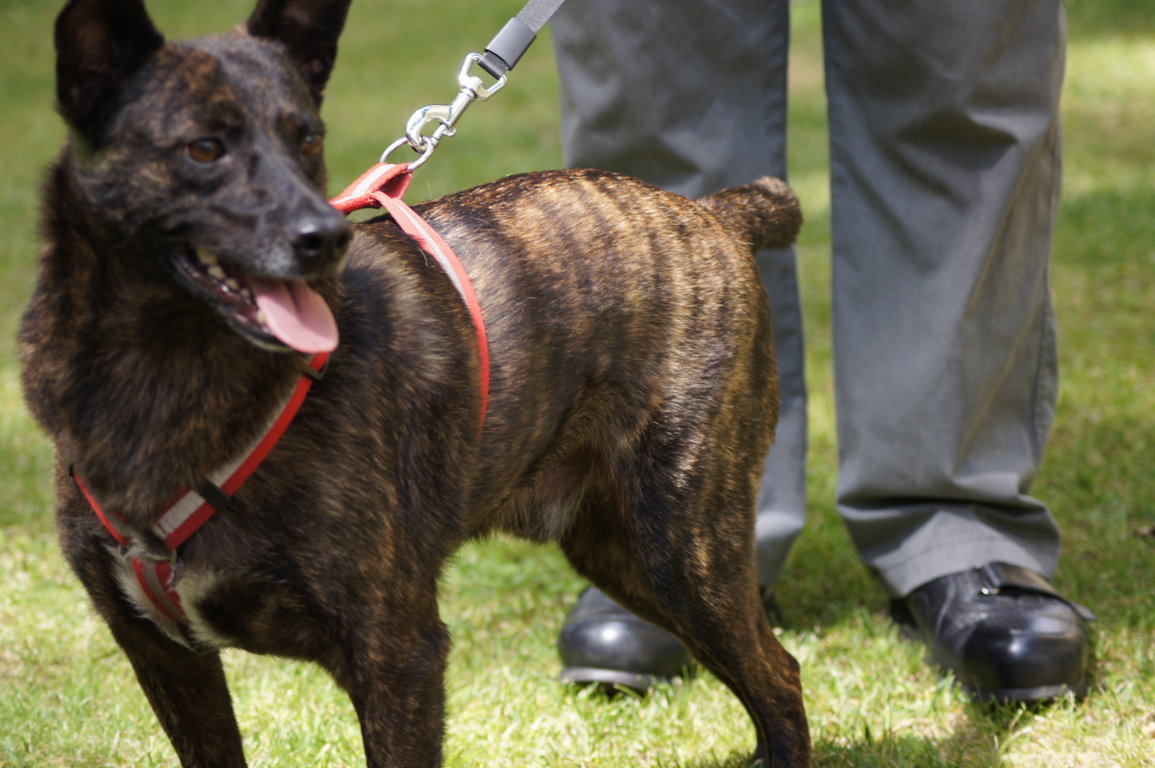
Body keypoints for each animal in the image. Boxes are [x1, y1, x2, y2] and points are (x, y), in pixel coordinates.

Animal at [19, 0, 810, 765]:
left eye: (309, 139)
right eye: (203, 148)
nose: (327, 238)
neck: (170, 376)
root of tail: (714, 213)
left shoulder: (397, 655)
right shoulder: (164, 653)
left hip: (681, 545)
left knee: (779, 676)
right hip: (617, 547)